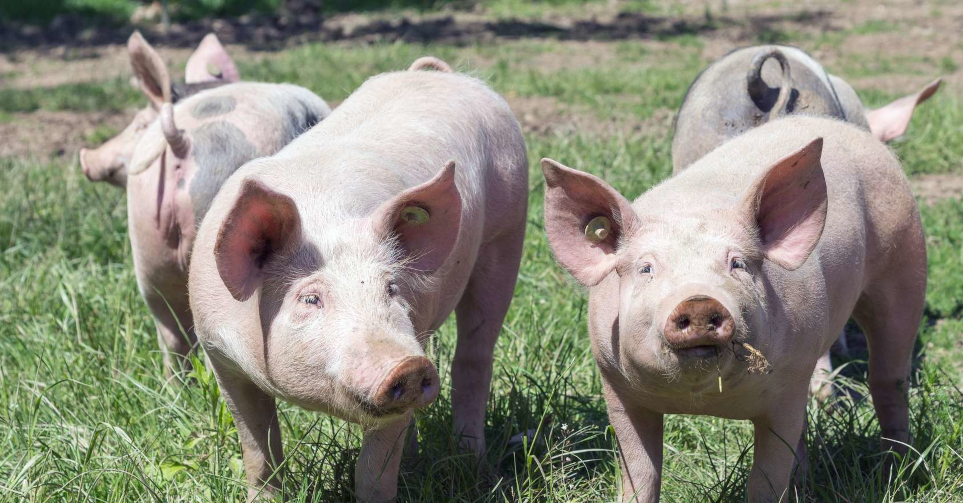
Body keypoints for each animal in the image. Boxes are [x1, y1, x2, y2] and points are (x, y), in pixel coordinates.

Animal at [187, 60, 528, 503]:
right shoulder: (219, 352)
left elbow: (373, 472)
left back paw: (477, 469)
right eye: (310, 299)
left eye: (392, 287)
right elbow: (258, 450)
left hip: (508, 229)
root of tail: (442, 74)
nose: (408, 364)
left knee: (474, 356)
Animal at [544, 116, 928, 502]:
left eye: (737, 264)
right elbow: (640, 474)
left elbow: (765, 481)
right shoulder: (616, 387)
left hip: (906, 258)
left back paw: (898, 475)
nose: (698, 301)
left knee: (888, 380)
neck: (702, 400)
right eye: (647, 268)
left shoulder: (784, 392)